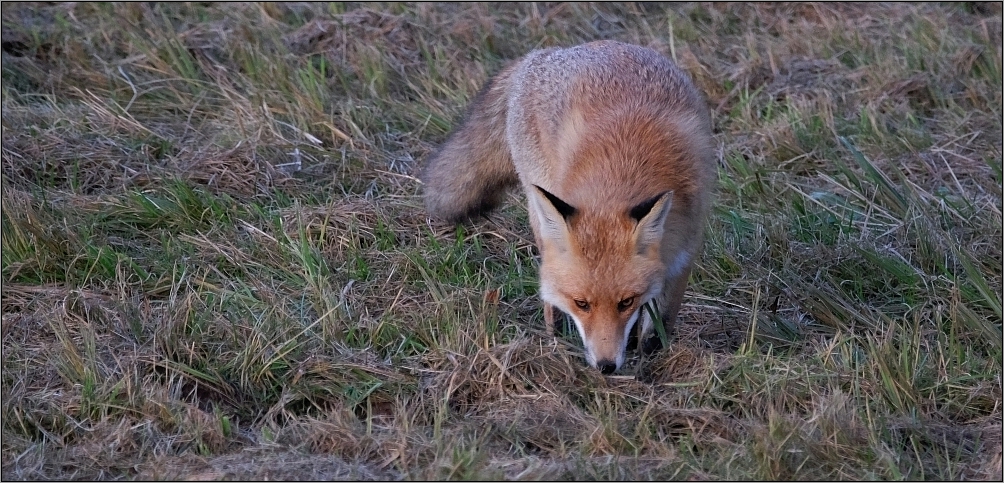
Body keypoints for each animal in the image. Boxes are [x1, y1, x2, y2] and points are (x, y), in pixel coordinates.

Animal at [419, 40, 718, 373]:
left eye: (626, 302)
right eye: (581, 304)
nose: (605, 366)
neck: (624, 168)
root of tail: (544, 53)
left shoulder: (683, 250)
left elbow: (659, 325)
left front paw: (652, 362)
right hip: (540, 206)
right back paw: (555, 340)